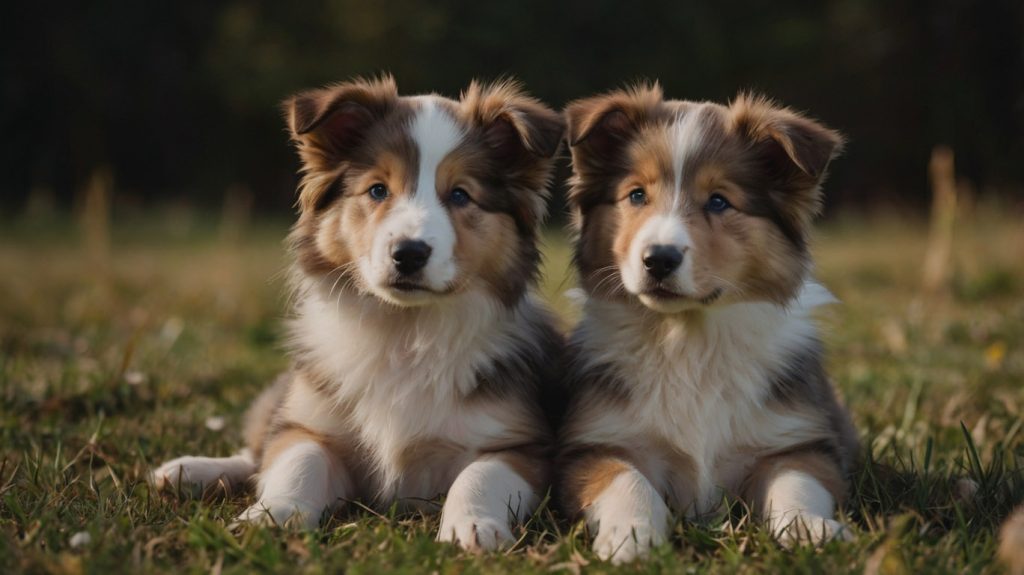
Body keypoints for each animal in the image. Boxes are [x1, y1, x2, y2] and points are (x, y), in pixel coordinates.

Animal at [153, 76, 569, 552]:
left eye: (460, 195)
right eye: (377, 190)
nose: (409, 253)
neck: (404, 330)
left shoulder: (520, 445)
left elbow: (479, 475)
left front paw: (472, 526)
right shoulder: (313, 423)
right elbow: (297, 460)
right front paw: (271, 515)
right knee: (258, 447)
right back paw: (188, 471)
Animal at [557, 83, 860, 560]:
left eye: (719, 201)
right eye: (636, 195)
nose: (658, 259)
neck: (688, 337)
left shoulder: (799, 442)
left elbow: (796, 486)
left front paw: (811, 530)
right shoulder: (595, 445)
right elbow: (628, 481)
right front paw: (631, 537)